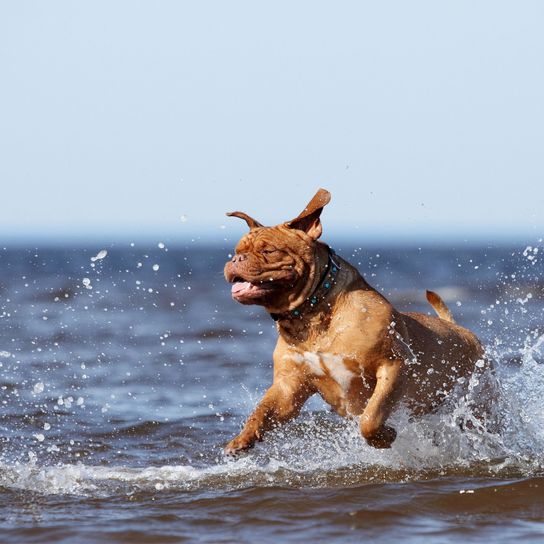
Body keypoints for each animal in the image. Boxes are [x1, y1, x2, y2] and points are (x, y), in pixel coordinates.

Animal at [223, 189, 486, 452]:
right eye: (236, 250)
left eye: (268, 251)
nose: (236, 260)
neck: (312, 314)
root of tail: (460, 329)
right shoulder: (289, 386)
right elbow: (262, 411)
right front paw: (242, 439)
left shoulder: (393, 365)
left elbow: (371, 417)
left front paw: (384, 436)